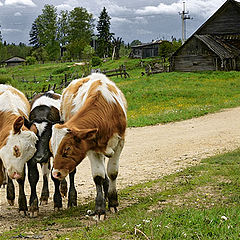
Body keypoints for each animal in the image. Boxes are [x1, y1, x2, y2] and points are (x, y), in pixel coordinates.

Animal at [26, 90, 67, 218]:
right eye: (32, 135)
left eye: (49, 135)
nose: (39, 156)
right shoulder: (31, 157)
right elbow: (33, 177)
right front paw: (33, 207)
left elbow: (55, 177)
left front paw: (58, 203)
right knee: (45, 172)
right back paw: (44, 196)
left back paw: (64, 189)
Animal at [51, 71, 127, 219]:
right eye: (52, 148)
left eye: (67, 148)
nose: (56, 173)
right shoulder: (90, 148)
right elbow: (98, 176)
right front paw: (100, 209)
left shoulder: (120, 143)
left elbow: (112, 172)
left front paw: (113, 202)